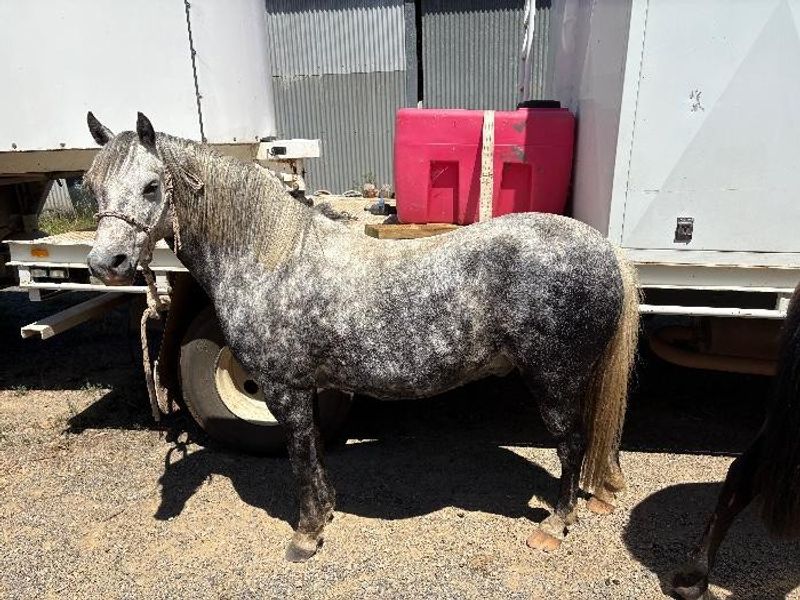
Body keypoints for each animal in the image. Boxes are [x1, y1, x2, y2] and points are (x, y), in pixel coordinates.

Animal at [83, 111, 639, 562]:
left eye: (152, 186)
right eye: (92, 186)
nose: (106, 263)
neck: (272, 259)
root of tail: (602, 248)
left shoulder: (284, 390)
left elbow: (301, 457)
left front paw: (307, 535)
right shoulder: (306, 389)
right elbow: (314, 454)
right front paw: (326, 513)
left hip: (554, 382)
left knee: (571, 445)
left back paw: (556, 526)